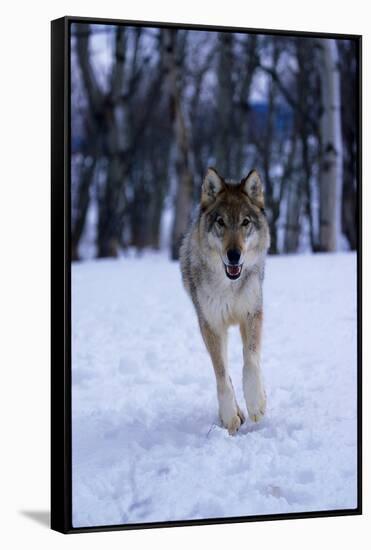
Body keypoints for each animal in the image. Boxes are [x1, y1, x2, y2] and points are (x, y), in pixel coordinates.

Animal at [180, 168, 270, 436]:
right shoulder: (211, 325)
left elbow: (250, 361)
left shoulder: (252, 314)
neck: (229, 286)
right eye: (221, 222)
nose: (234, 254)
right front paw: (230, 415)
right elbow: (221, 374)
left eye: (245, 222)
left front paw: (257, 403)